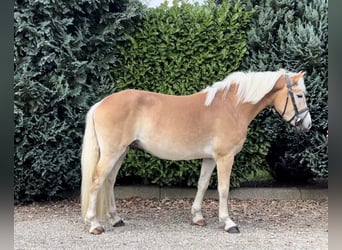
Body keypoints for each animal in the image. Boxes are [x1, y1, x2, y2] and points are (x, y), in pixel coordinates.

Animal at [81, 69, 312, 234]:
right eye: (300, 95)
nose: (307, 124)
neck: (232, 107)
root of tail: (101, 103)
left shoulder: (209, 158)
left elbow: (202, 185)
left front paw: (198, 217)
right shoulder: (225, 157)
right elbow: (223, 189)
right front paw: (228, 223)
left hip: (121, 152)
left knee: (109, 181)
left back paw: (116, 219)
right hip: (112, 153)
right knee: (97, 180)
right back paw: (94, 224)